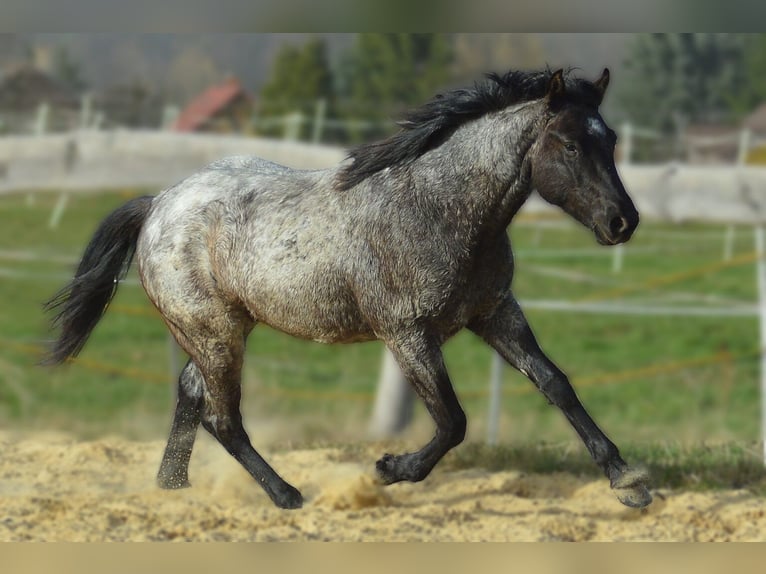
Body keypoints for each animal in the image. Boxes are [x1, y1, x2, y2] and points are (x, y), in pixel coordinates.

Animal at [43, 68, 656, 512]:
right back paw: (287, 495)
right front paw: (389, 471)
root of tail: (159, 203)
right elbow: (453, 420)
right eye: (570, 144)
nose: (623, 222)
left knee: (192, 396)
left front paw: (628, 481)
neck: (442, 208)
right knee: (223, 417)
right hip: (214, 332)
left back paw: (172, 491)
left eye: (611, 140)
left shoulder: (495, 312)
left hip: (218, 330)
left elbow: (556, 384)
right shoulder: (407, 333)